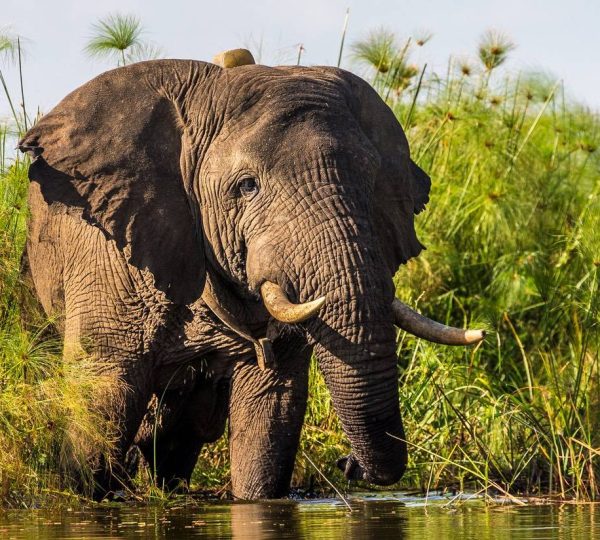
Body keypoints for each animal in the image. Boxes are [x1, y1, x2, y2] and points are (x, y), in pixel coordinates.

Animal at [18, 48, 486, 500]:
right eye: (247, 186)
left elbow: (269, 414)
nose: (347, 463)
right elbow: (102, 398)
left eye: (372, 183)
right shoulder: (108, 257)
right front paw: (86, 499)